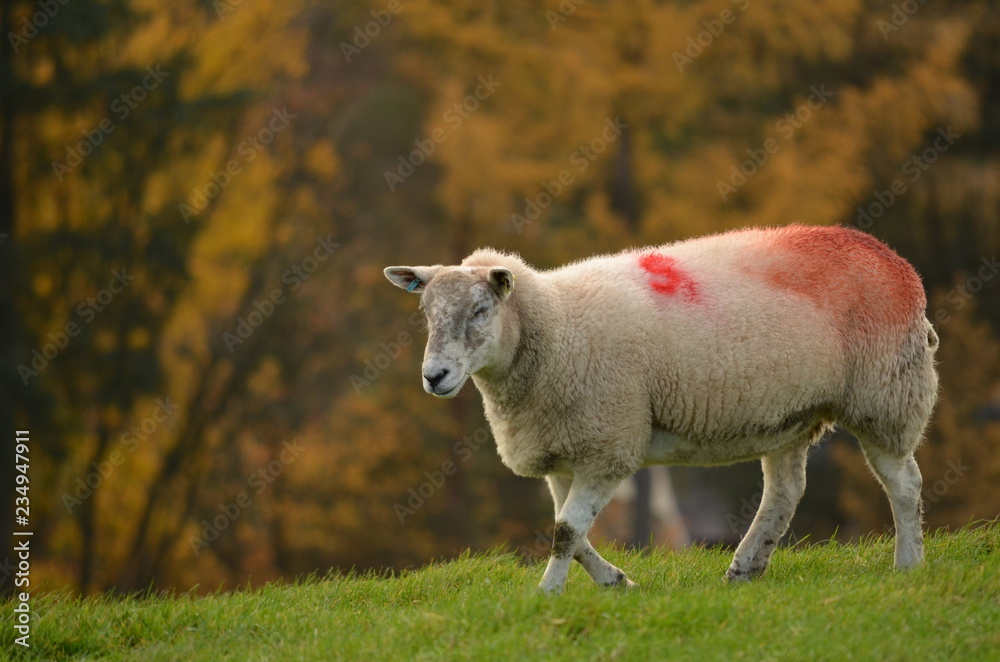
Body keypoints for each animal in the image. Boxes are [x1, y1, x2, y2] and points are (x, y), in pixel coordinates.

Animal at [384, 224, 939, 593]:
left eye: (480, 310)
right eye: (426, 313)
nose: (434, 376)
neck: (556, 327)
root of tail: (892, 258)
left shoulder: (608, 444)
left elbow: (565, 531)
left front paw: (547, 594)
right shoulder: (563, 449)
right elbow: (571, 532)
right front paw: (615, 582)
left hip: (886, 395)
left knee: (904, 484)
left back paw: (909, 564)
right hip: (789, 413)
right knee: (784, 492)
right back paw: (746, 567)